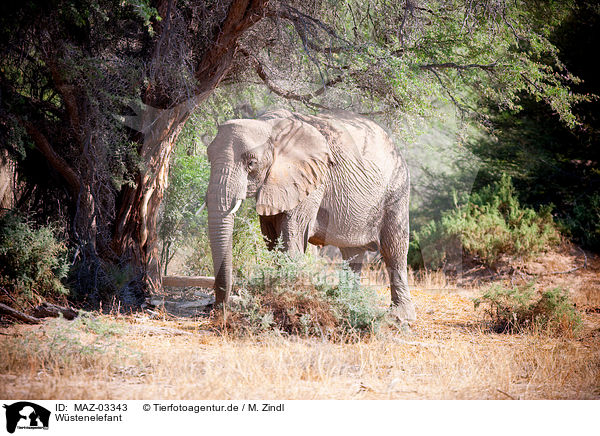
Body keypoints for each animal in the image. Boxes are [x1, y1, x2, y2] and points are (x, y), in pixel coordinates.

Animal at [204, 107, 414, 322]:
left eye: (251, 163)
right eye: (209, 158)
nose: (219, 309)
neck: (268, 126)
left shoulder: (310, 179)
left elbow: (291, 238)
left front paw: (286, 301)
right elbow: (272, 239)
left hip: (396, 189)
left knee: (393, 248)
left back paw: (400, 317)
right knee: (352, 253)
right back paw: (347, 304)